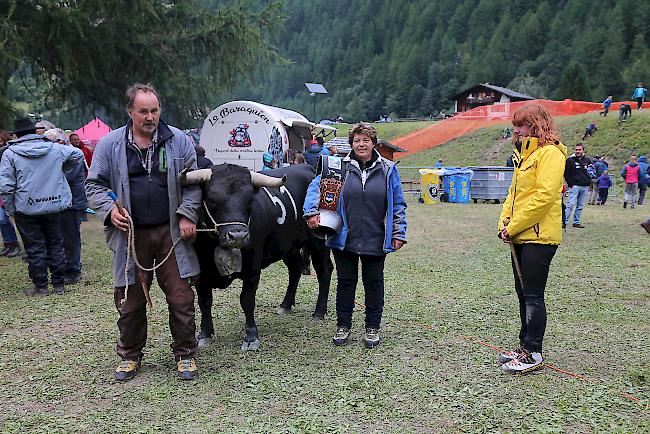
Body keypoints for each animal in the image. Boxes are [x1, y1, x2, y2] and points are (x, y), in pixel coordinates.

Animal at [181, 163, 334, 350]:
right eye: (211, 199)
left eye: (250, 201)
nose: (238, 236)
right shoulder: (200, 270)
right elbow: (204, 302)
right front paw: (204, 334)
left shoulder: (253, 266)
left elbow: (246, 300)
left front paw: (251, 336)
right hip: (287, 246)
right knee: (295, 270)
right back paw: (285, 305)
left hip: (318, 242)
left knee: (324, 271)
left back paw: (319, 312)